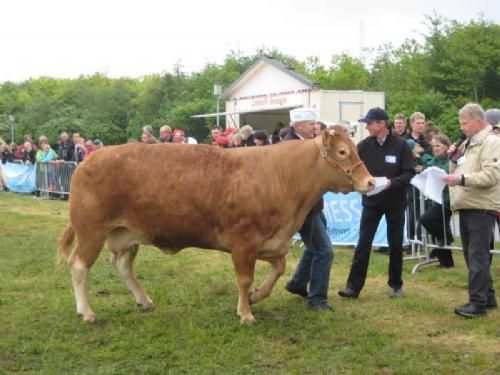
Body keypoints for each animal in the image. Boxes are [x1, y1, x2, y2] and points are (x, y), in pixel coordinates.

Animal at [58, 125, 374, 324]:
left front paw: (256, 296)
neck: (282, 177)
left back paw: (143, 300)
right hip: (91, 231)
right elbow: (244, 278)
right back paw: (86, 312)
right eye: (343, 152)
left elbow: (279, 268)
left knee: (122, 265)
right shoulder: (244, 241)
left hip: (127, 233)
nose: (370, 181)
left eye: (355, 149)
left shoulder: (269, 242)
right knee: (79, 266)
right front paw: (245, 312)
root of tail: (90, 159)